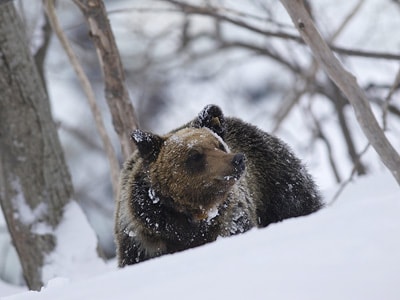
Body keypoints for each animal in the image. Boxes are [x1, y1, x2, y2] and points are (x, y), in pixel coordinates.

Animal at [115, 105, 322, 268]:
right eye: (195, 155)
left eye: (219, 145)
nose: (237, 160)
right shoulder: (142, 243)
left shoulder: (231, 222)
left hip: (279, 186)